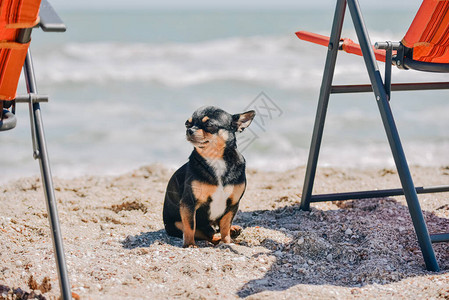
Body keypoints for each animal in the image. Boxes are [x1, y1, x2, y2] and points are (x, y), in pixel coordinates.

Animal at [164, 106, 256, 247]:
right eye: (187, 124)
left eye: (209, 125)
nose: (189, 130)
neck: (216, 159)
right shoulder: (188, 204)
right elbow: (190, 226)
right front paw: (190, 245)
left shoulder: (233, 204)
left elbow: (225, 227)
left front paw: (227, 242)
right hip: (177, 224)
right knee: (208, 233)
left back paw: (232, 230)